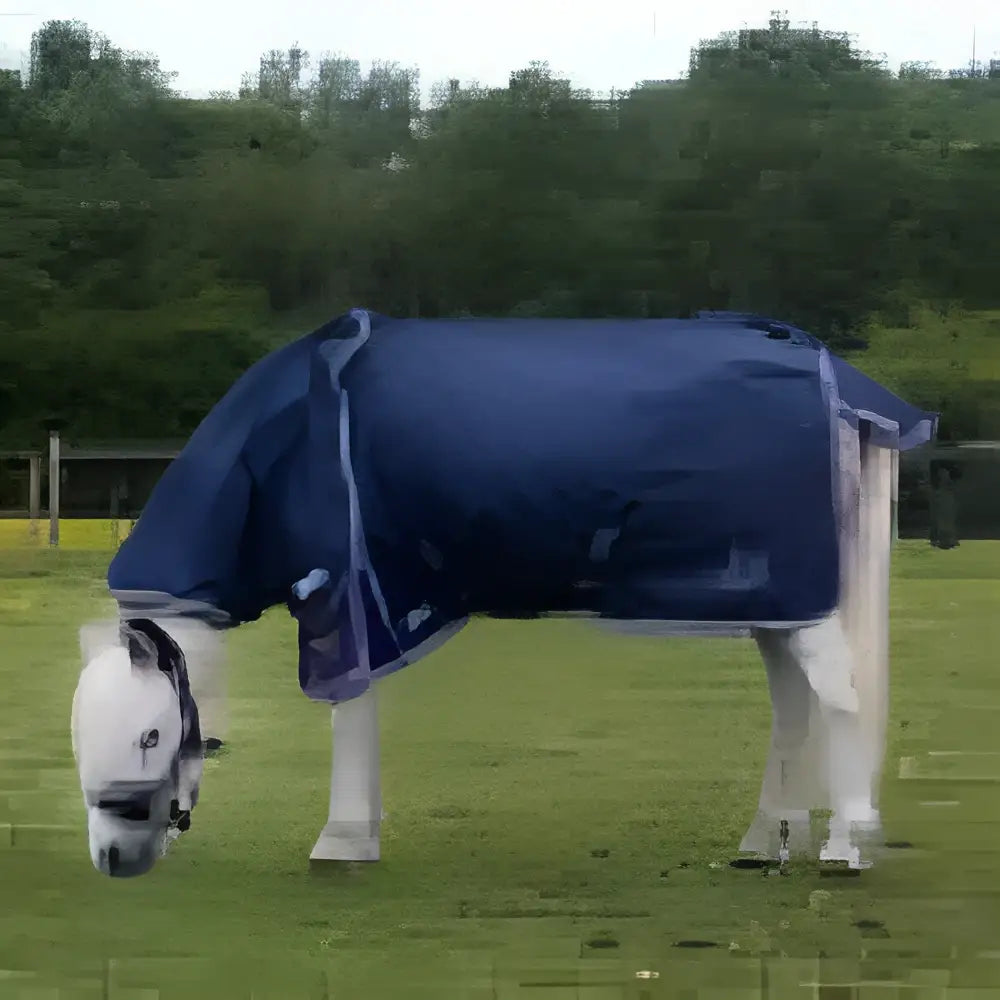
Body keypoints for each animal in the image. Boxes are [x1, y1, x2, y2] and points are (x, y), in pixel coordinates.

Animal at [70, 309, 936, 877]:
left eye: (150, 733)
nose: (113, 857)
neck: (277, 444)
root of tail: (830, 371)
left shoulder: (345, 594)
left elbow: (351, 707)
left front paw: (342, 841)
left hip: (799, 598)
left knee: (841, 695)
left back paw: (844, 848)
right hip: (773, 600)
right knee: (794, 700)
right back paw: (766, 840)